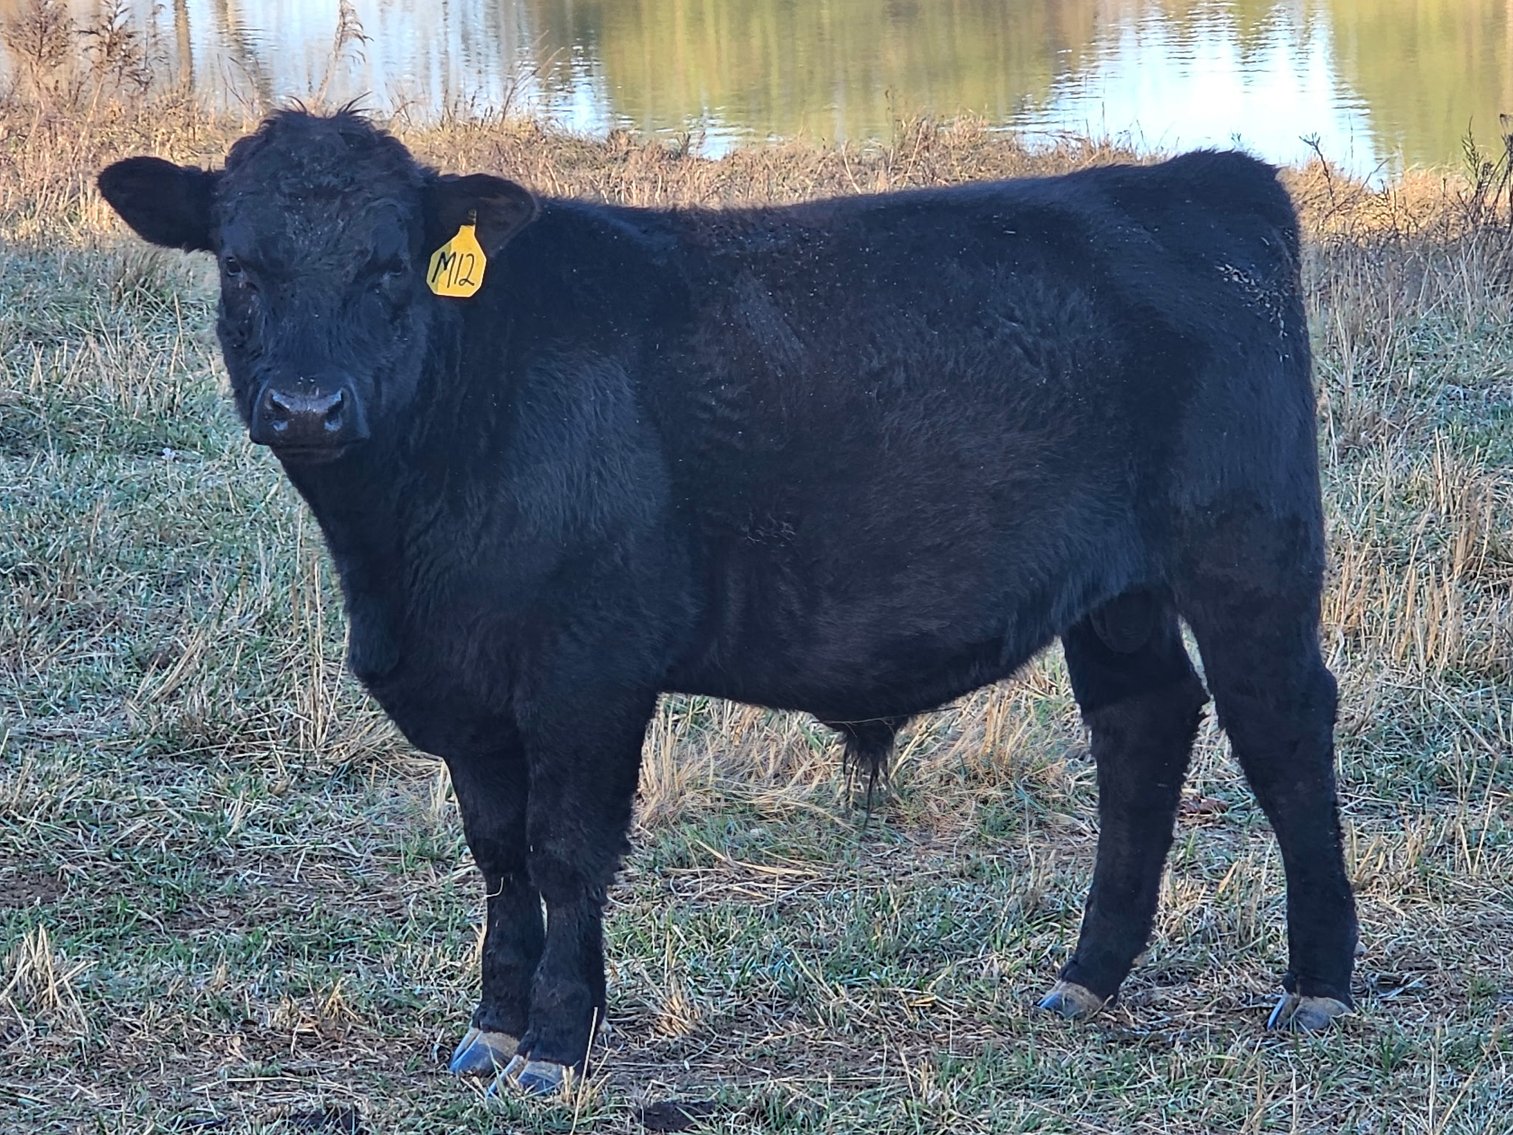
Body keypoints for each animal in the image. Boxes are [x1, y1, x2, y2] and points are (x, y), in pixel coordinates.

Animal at [97, 110, 1357, 1095]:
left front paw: (555, 1044)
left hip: (1247, 555)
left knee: (1284, 732)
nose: (306, 407)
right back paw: (1086, 977)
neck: (402, 556)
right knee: (1142, 726)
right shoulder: (465, 691)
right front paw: (490, 1029)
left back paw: (1317, 986)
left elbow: (564, 851)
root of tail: (1194, 177)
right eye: (240, 267)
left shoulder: (587, 670)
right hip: (1117, 592)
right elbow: (498, 854)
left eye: (390, 269)